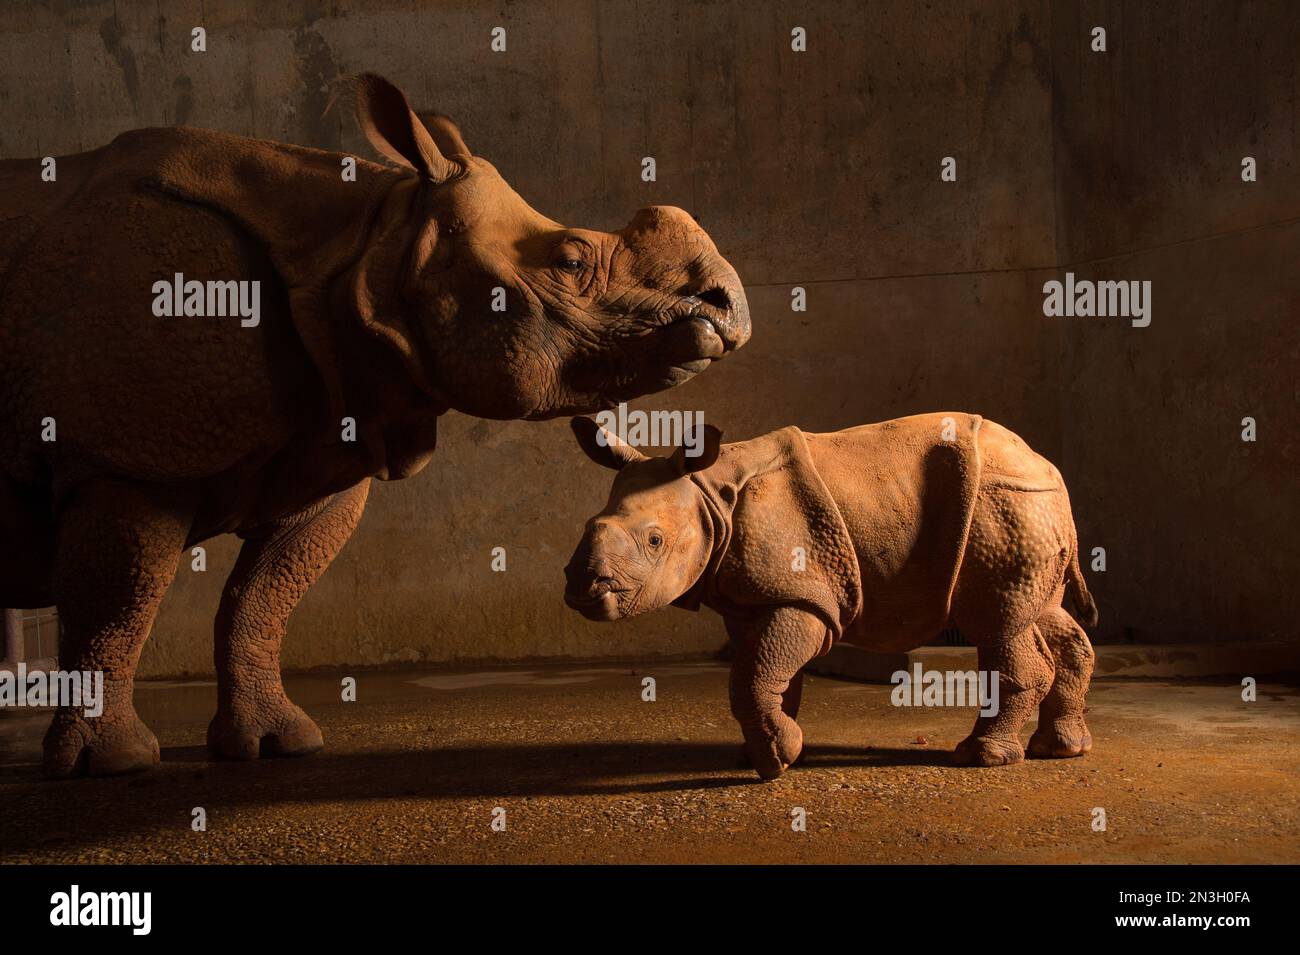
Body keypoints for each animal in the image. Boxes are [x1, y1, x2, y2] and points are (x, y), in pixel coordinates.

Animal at [0, 74, 750, 778]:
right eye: (570, 261)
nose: (724, 308)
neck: (367, 248)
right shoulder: (122, 459)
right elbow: (117, 604)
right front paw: (111, 765)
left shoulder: (326, 449)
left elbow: (261, 600)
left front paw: (278, 746)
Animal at [564, 412, 1097, 780]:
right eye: (589, 524)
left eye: (654, 541)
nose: (582, 588)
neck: (710, 493)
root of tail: (1053, 471)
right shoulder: (760, 597)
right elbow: (770, 674)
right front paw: (765, 752)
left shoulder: (805, 596)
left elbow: (753, 677)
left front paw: (775, 760)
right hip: (1027, 507)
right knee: (1041, 614)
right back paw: (1061, 749)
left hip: (1002, 505)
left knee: (997, 621)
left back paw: (981, 758)